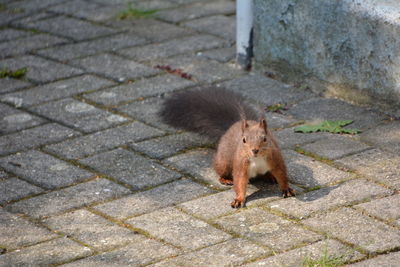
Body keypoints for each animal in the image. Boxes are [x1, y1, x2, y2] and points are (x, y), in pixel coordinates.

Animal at [159, 87, 294, 208]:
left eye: (265, 138)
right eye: (244, 140)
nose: (254, 150)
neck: (257, 159)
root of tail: (231, 127)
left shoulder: (275, 159)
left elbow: (282, 174)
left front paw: (286, 188)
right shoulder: (241, 164)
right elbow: (240, 181)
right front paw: (239, 199)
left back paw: (269, 176)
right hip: (223, 162)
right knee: (221, 171)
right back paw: (225, 179)